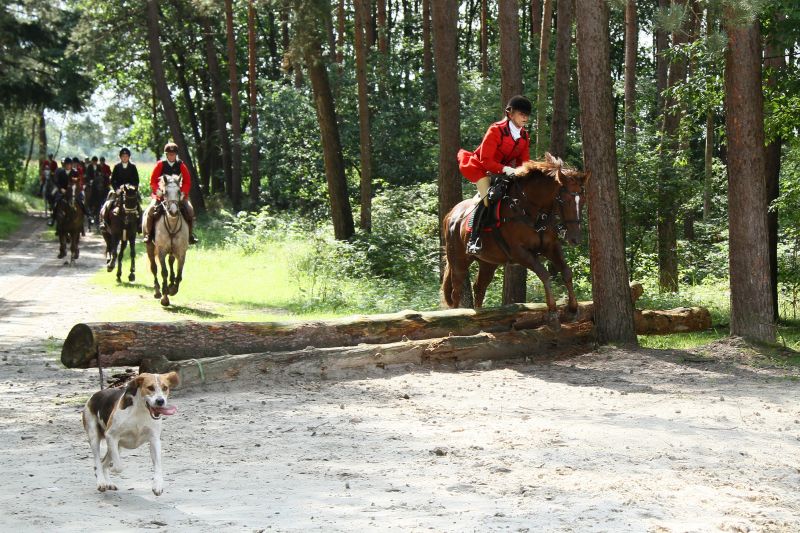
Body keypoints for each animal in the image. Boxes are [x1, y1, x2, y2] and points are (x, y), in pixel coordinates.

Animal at [145, 174, 189, 306]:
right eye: (165, 192)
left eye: (179, 191)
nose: (173, 212)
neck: (172, 224)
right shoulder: (161, 251)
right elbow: (163, 272)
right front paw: (165, 297)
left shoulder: (181, 252)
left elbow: (179, 273)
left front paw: (173, 289)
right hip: (150, 247)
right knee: (154, 268)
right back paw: (157, 291)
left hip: (172, 251)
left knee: (171, 262)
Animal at [441, 153, 590, 328]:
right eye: (564, 201)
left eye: (584, 201)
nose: (575, 239)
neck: (533, 210)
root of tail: (451, 213)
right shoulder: (519, 253)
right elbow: (544, 274)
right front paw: (552, 314)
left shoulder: (550, 246)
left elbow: (566, 272)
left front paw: (573, 309)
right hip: (459, 260)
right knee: (456, 290)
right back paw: (455, 317)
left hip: (488, 262)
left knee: (480, 287)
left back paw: (481, 315)